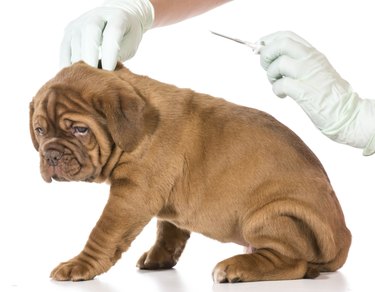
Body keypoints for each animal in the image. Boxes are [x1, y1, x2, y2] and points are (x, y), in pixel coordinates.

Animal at [30, 61, 352, 282]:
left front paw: (79, 266)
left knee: (291, 261)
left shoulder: (131, 195)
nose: (51, 155)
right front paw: (159, 257)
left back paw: (237, 267)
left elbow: (103, 232)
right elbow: (168, 229)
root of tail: (343, 240)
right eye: (40, 130)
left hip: (272, 214)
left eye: (80, 130)